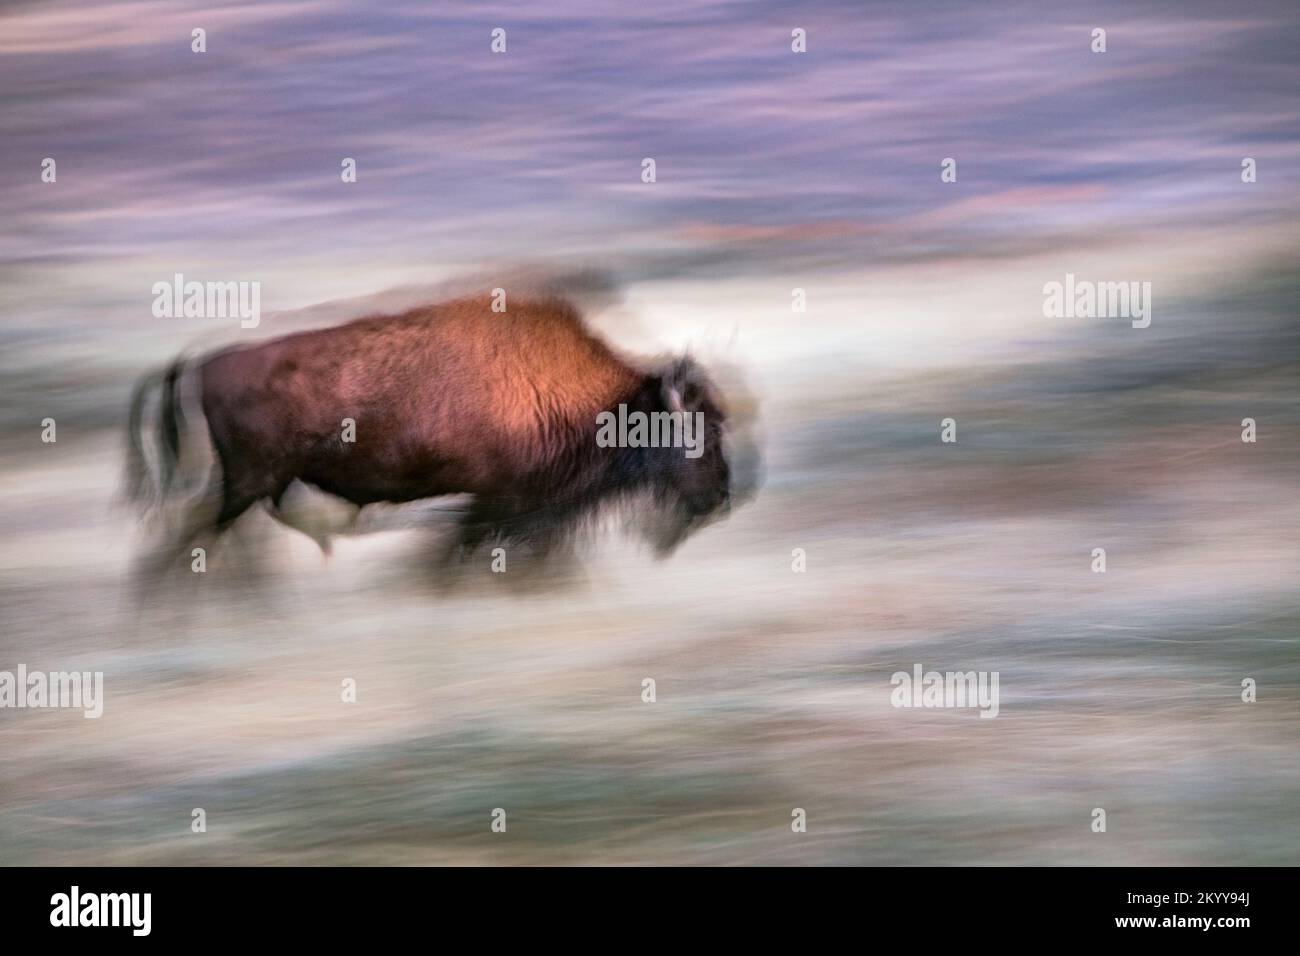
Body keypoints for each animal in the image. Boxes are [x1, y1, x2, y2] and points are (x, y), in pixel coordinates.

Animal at [125, 293, 754, 574]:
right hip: (245, 485)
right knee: (192, 542)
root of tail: (204, 364)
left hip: (251, 488)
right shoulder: (500, 503)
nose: (724, 496)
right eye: (701, 431)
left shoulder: (518, 511)